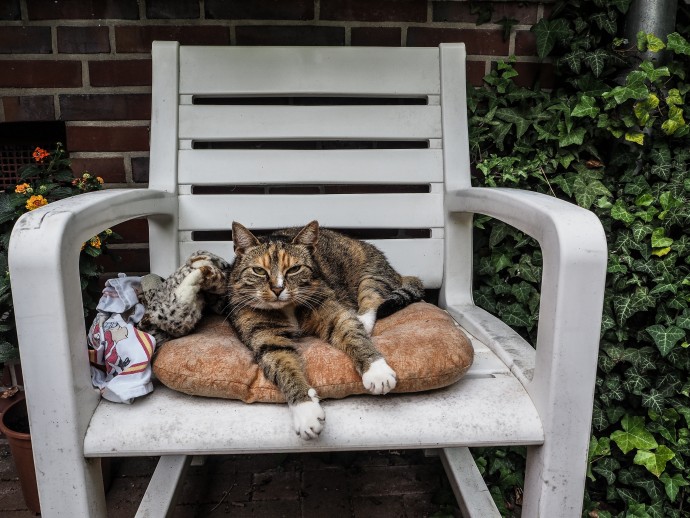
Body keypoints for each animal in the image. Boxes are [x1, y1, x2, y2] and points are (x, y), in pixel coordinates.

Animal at [226, 221, 422, 440]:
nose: (277, 289)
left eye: (294, 269)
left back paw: (362, 319)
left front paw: (376, 371)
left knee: (372, 300)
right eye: (259, 271)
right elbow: (285, 368)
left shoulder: (333, 314)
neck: (287, 307)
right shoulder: (267, 338)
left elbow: (353, 333)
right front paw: (306, 410)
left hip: (372, 274)